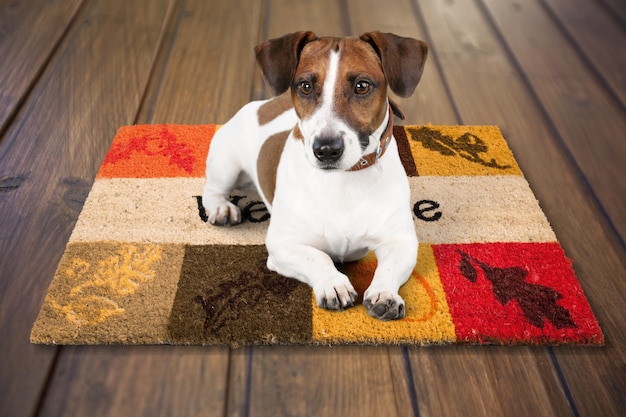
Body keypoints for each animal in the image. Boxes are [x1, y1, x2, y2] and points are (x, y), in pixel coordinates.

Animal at [202, 30, 426, 320]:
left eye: (362, 86)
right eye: (306, 86)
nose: (326, 149)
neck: (343, 179)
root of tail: (265, 103)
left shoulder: (401, 242)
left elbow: (388, 266)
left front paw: (384, 293)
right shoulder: (282, 245)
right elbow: (318, 257)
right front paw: (333, 284)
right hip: (226, 163)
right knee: (212, 189)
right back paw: (221, 209)